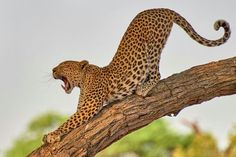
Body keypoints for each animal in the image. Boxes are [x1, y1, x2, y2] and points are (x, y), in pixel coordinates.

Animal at [43, 8, 230, 144]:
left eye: (64, 65)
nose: (52, 69)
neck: (83, 81)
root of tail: (161, 9)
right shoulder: (83, 107)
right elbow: (71, 120)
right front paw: (54, 135)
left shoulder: (90, 106)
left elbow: (68, 121)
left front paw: (51, 135)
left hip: (152, 47)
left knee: (157, 73)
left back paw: (143, 89)